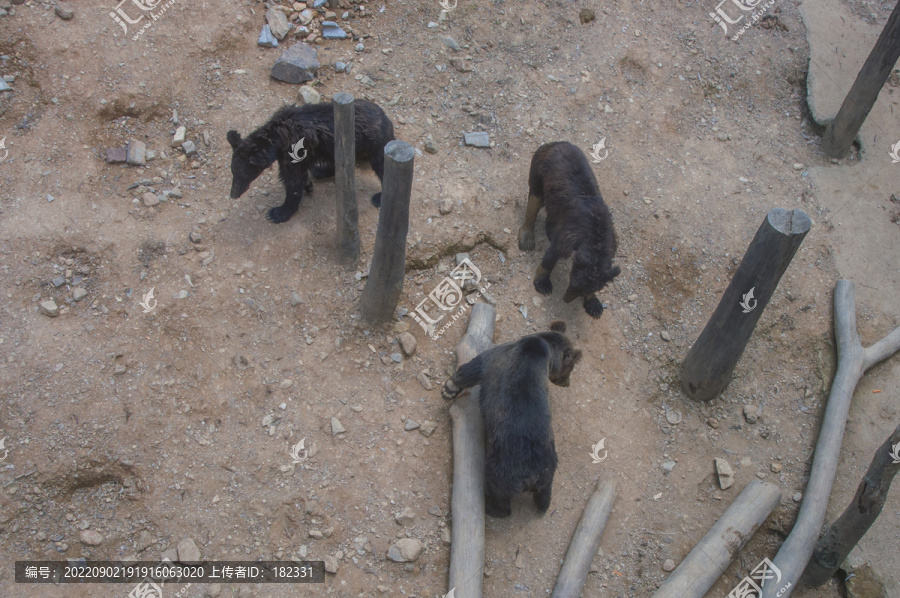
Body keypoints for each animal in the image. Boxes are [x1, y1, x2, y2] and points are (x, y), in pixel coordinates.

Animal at [225, 99, 394, 224]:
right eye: (233, 172)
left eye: (241, 175)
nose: (233, 194)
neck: (277, 139)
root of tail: (386, 118)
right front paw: (308, 185)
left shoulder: (294, 152)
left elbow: (293, 182)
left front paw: (277, 212)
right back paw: (320, 170)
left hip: (375, 143)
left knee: (382, 167)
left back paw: (379, 197)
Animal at [442, 322, 584, 516]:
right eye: (570, 369)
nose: (567, 383)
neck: (542, 348)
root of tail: (533, 477)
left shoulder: (497, 356)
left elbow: (473, 367)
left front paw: (449, 388)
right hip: (549, 468)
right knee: (545, 494)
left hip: (502, 467)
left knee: (499, 493)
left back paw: (492, 508)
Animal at [516, 142, 624, 318]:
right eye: (573, 282)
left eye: (584, 290)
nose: (566, 299)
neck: (597, 239)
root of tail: (555, 143)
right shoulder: (571, 234)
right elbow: (552, 254)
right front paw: (543, 283)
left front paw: (594, 304)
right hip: (539, 168)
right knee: (534, 199)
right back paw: (527, 238)